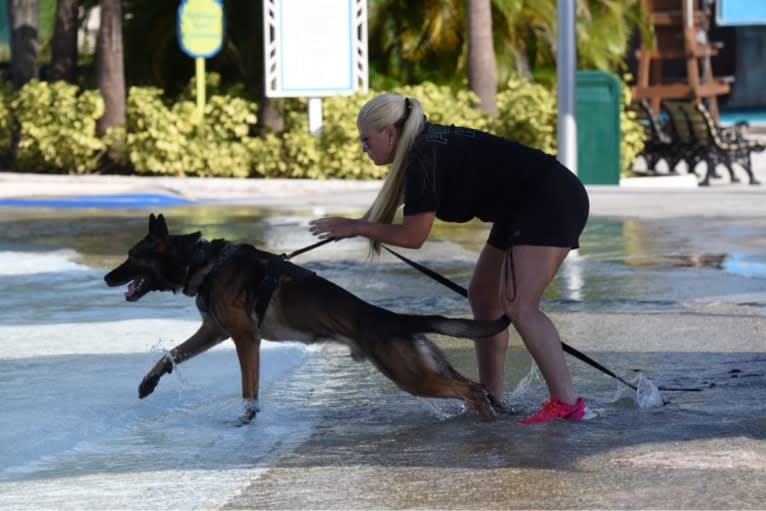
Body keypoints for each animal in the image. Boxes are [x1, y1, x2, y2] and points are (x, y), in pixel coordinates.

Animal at [102, 213, 510, 424]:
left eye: (132, 256)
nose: (106, 277)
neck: (204, 262)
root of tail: (394, 318)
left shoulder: (245, 338)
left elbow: (249, 388)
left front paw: (247, 419)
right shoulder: (213, 332)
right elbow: (171, 354)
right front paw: (148, 383)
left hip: (410, 375)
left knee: (473, 390)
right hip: (423, 368)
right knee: (475, 387)